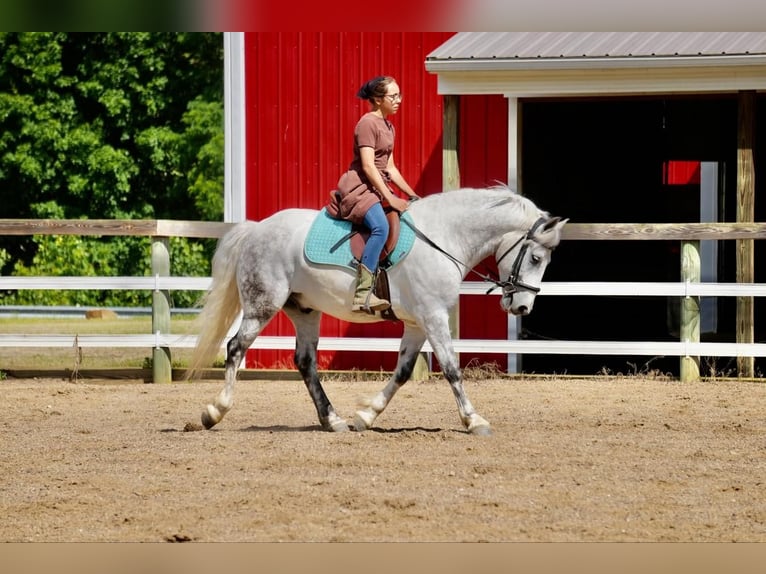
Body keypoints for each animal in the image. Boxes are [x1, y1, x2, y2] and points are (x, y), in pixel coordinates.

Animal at [188, 188, 568, 436]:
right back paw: (213, 412)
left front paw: (366, 416)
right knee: (235, 347)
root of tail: (256, 228)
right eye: (536, 258)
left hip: (305, 310)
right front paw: (474, 420)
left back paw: (333, 420)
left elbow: (402, 373)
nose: (522, 306)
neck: (445, 237)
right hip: (263, 304)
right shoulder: (433, 317)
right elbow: (451, 369)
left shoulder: (417, 324)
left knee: (305, 362)